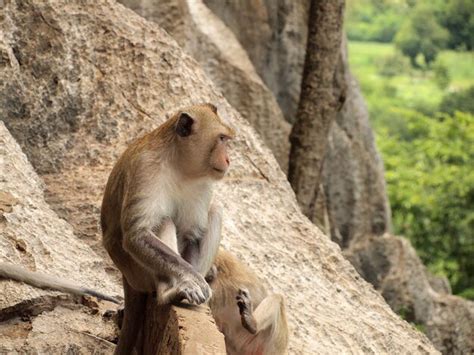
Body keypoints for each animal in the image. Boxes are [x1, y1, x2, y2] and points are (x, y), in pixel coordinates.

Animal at [101, 102, 234, 354]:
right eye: (221, 138)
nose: (228, 160)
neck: (179, 164)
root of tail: (126, 277)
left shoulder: (203, 183)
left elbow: (192, 234)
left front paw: (198, 279)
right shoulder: (145, 168)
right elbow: (137, 234)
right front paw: (191, 279)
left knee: (216, 210)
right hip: (139, 273)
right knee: (163, 221)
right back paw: (168, 293)